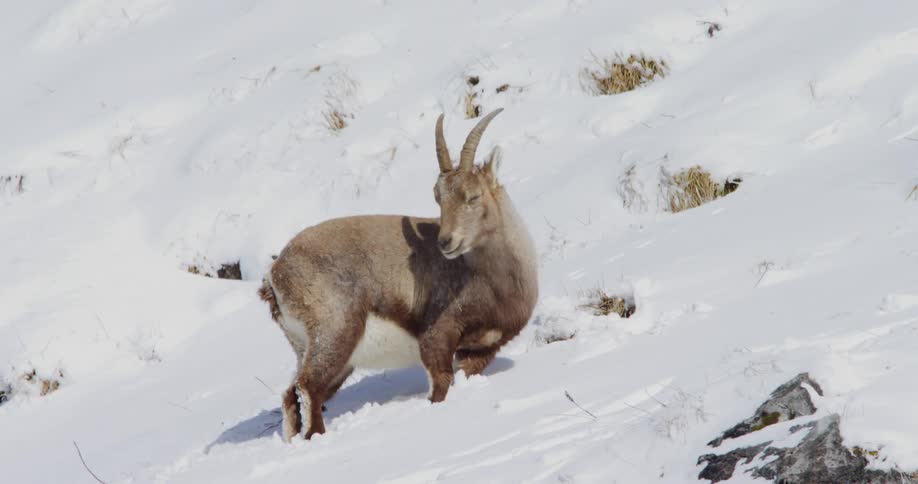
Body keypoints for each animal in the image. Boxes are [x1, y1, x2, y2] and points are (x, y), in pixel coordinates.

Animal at [259, 108, 538, 441]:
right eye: (438, 198)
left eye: (473, 196)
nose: (446, 242)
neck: (495, 279)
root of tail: (274, 275)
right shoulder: (438, 333)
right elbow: (440, 382)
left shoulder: (482, 351)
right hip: (335, 332)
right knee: (308, 388)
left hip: (309, 348)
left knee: (291, 395)